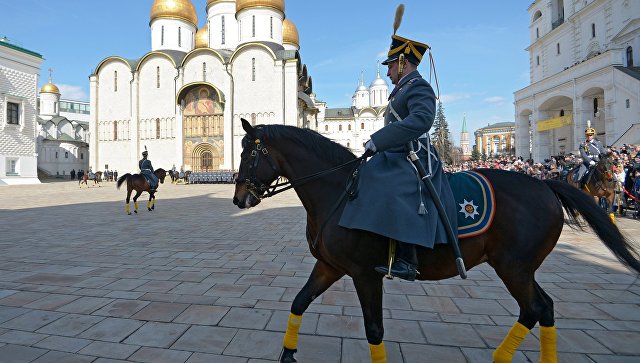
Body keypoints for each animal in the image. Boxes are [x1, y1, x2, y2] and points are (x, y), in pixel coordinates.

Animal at [231, 121, 640, 363]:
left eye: (249, 152)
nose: (238, 199)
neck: (340, 192)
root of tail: (545, 184)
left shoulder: (365, 274)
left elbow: (374, 330)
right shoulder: (329, 266)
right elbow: (299, 303)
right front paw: (287, 355)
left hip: (515, 268)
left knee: (535, 308)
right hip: (518, 267)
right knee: (542, 308)